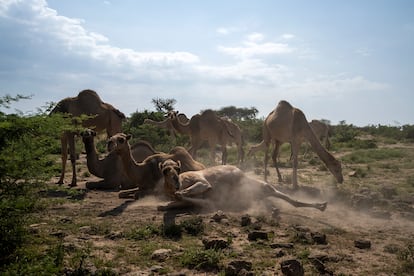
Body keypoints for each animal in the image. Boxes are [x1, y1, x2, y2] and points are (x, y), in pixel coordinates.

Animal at [155, 157, 326, 211]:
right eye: (164, 170)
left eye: (178, 168)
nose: (176, 182)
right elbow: (176, 201)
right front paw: (164, 205)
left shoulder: (201, 181)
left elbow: (197, 189)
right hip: (257, 190)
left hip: (261, 185)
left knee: (280, 193)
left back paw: (322, 205)